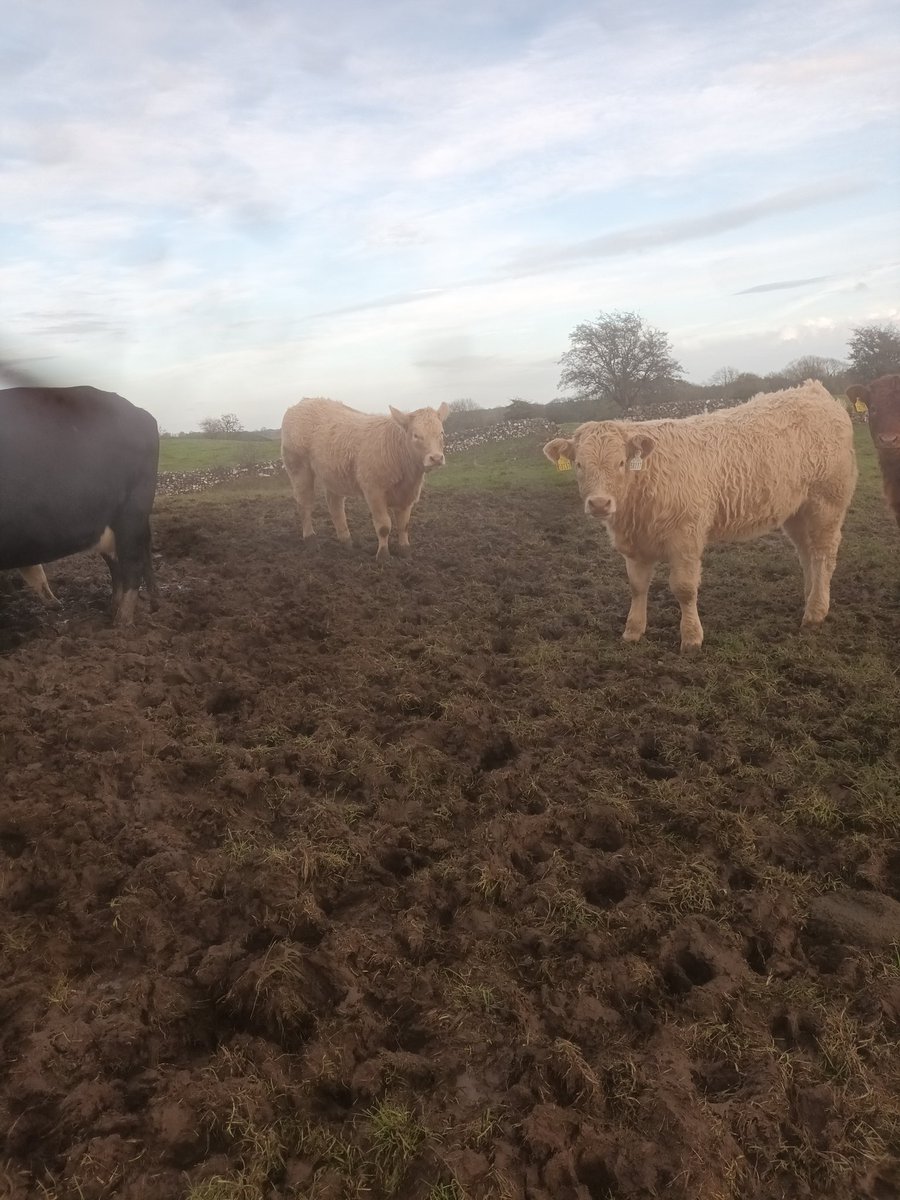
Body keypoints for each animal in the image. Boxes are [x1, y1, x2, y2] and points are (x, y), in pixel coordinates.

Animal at [0, 385, 160, 624]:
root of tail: (140, 413)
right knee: (119, 567)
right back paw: (114, 610)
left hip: (131, 516)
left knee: (132, 566)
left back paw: (122, 622)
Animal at [281, 397, 449, 560]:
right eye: (416, 435)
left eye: (441, 433)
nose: (436, 458)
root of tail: (303, 402)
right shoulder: (374, 492)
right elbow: (384, 525)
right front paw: (383, 556)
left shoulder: (407, 495)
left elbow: (403, 525)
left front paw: (405, 552)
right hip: (299, 468)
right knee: (305, 505)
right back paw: (311, 541)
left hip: (333, 475)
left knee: (335, 506)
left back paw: (346, 542)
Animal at [543, 380, 857, 653]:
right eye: (579, 464)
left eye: (620, 462)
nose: (599, 503)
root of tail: (814, 391)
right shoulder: (636, 545)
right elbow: (637, 586)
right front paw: (633, 631)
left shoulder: (686, 536)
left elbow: (683, 589)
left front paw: (692, 638)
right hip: (796, 511)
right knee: (807, 554)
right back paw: (811, 596)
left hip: (827, 503)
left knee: (823, 554)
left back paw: (815, 612)